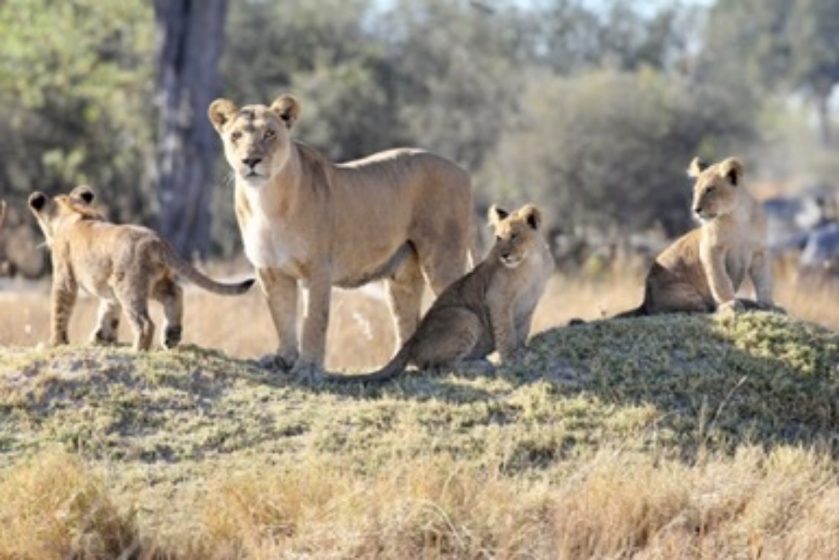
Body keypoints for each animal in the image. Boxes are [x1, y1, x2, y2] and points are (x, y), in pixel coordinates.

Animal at [28, 186, 254, 350]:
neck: (74, 212)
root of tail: (157, 240)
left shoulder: (64, 278)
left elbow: (60, 310)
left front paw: (56, 342)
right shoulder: (108, 288)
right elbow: (108, 311)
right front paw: (101, 338)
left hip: (128, 285)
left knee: (146, 324)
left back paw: (137, 350)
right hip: (151, 282)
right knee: (175, 293)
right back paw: (171, 337)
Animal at [208, 94, 475, 379]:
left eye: (269, 133)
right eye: (235, 135)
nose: (250, 160)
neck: (264, 201)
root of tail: (461, 170)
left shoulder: (317, 269)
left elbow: (314, 320)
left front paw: (307, 368)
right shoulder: (270, 270)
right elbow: (282, 317)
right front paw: (283, 358)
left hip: (443, 257)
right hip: (403, 274)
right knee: (406, 319)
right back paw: (396, 364)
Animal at [327, 204, 554, 383]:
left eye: (514, 236)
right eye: (498, 238)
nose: (504, 255)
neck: (532, 262)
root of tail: (412, 340)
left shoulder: (530, 304)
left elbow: (522, 330)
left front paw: (524, 351)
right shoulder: (497, 298)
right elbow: (506, 332)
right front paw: (511, 358)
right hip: (466, 316)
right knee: (441, 367)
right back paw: (479, 365)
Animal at [616, 156, 777, 317]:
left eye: (709, 189)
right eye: (695, 191)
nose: (695, 210)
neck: (738, 216)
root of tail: (645, 301)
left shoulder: (759, 251)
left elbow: (764, 281)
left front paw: (768, 304)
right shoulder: (711, 249)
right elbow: (719, 279)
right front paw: (729, 304)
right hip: (685, 294)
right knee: (696, 307)